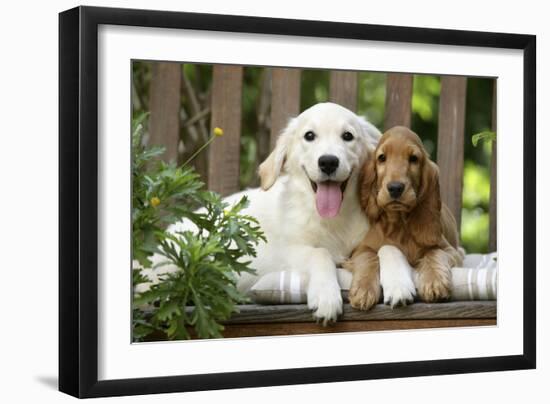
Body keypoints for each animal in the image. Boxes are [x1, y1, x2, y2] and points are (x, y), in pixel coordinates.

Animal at [224, 102, 384, 322]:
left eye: (348, 136)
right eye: (309, 135)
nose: (328, 162)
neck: (334, 219)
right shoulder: (286, 252)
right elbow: (320, 253)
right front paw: (326, 296)